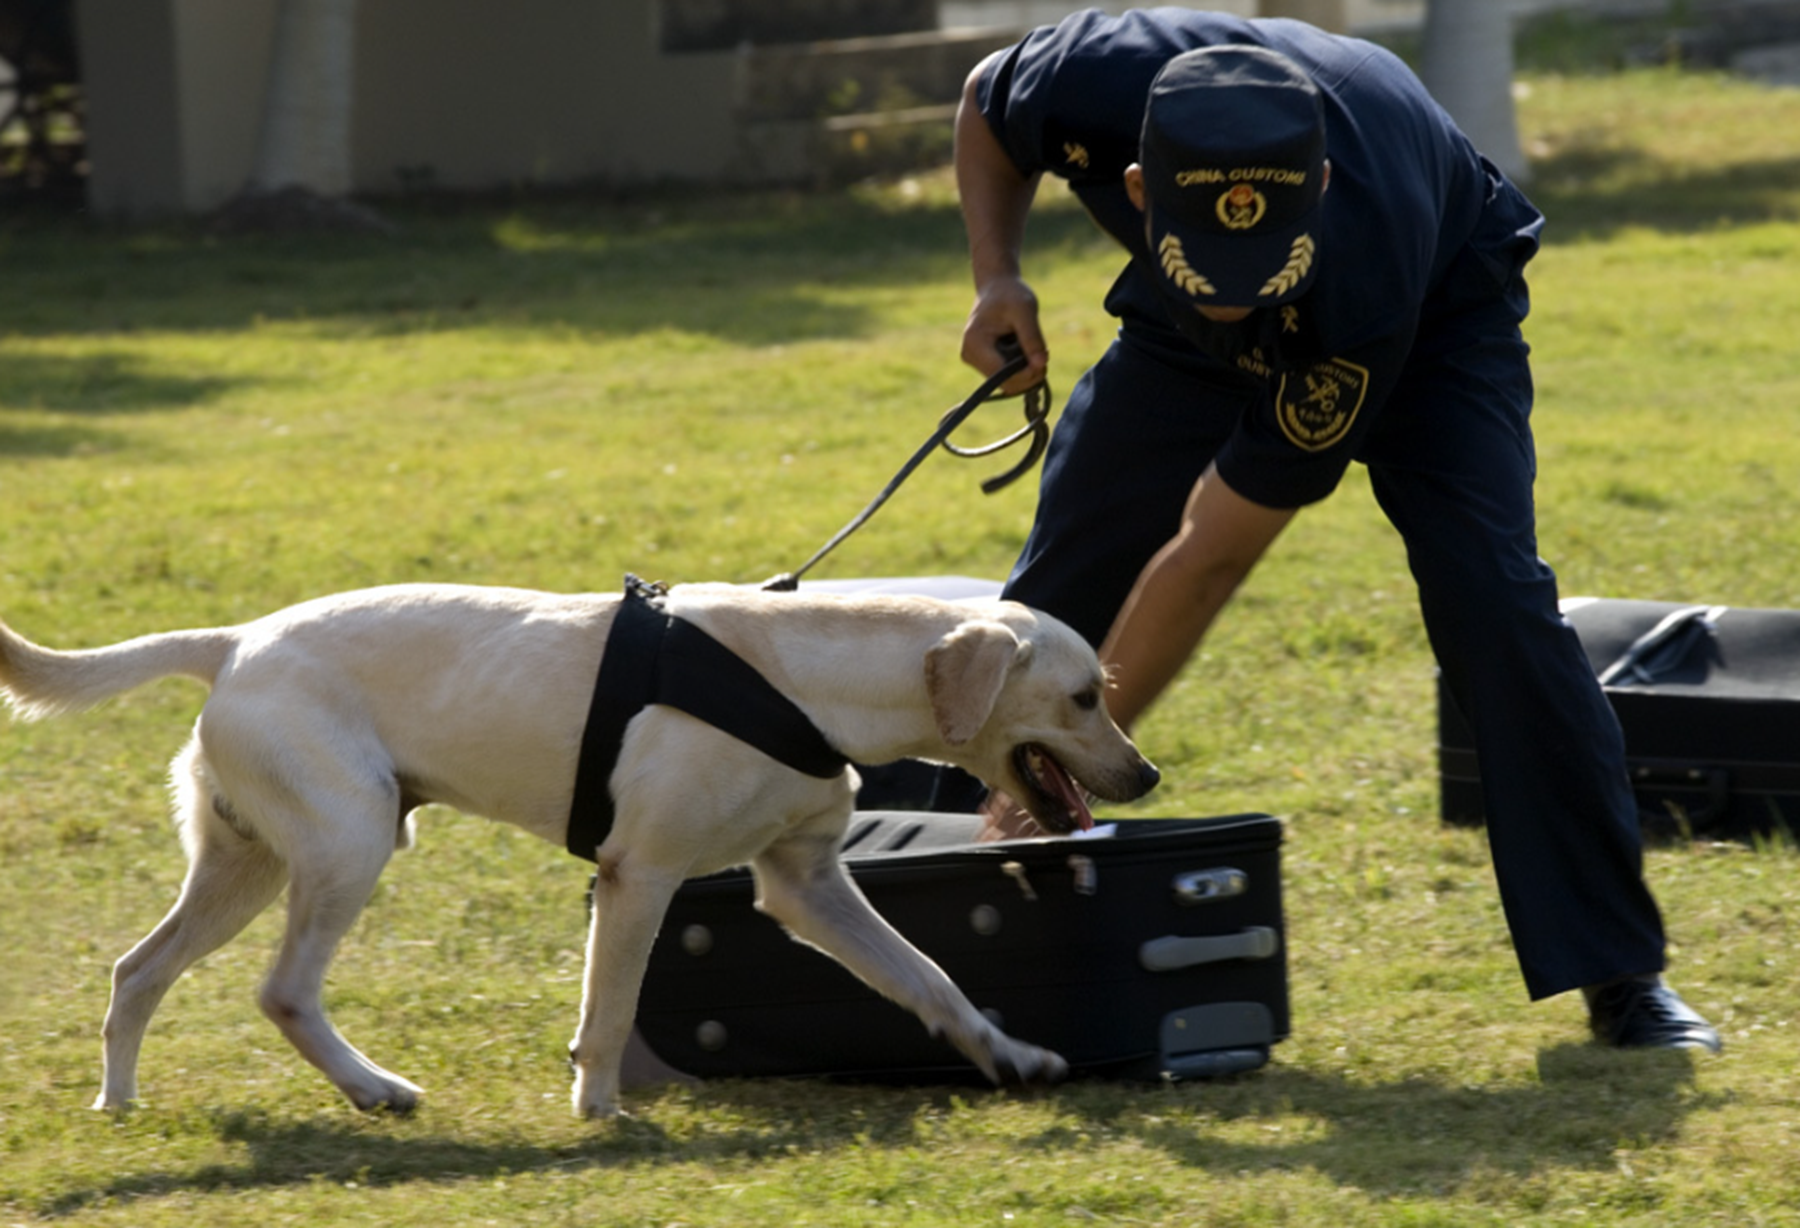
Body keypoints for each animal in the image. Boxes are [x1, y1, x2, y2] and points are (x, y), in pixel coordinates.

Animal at [0, 579, 1152, 1116]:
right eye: (1082, 697)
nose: (1145, 778)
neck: (807, 679)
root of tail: (235, 639)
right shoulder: (640, 875)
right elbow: (607, 1011)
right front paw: (598, 1109)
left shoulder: (807, 883)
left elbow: (931, 977)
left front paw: (1009, 1054)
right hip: (347, 846)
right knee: (282, 992)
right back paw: (375, 1088)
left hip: (246, 865)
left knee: (136, 970)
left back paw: (119, 1099)